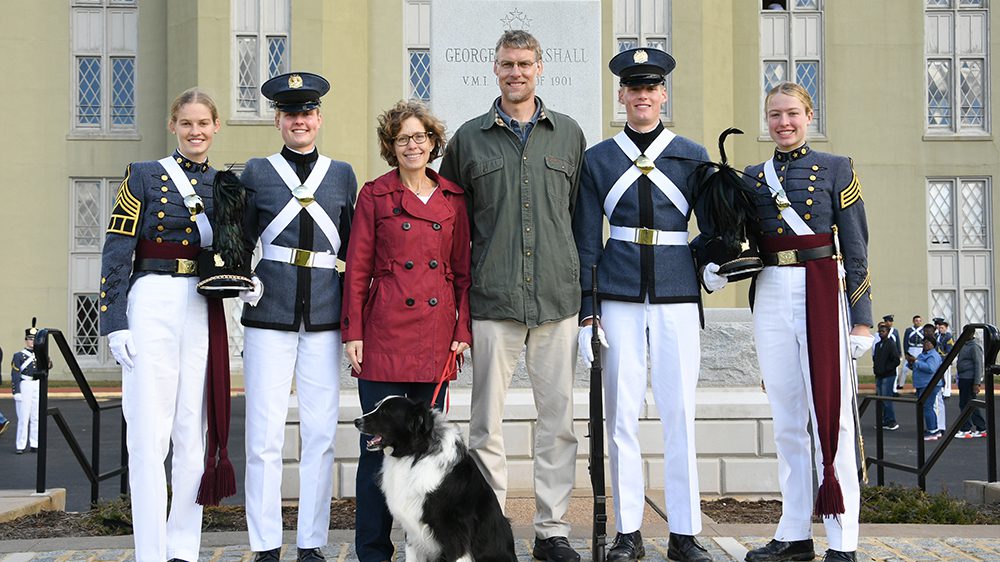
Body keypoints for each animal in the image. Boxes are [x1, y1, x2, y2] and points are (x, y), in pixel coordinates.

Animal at [356, 394, 520, 560]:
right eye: (377, 407)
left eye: (385, 412)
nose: (356, 421)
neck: (415, 454)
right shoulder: (412, 531)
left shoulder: (454, 534)